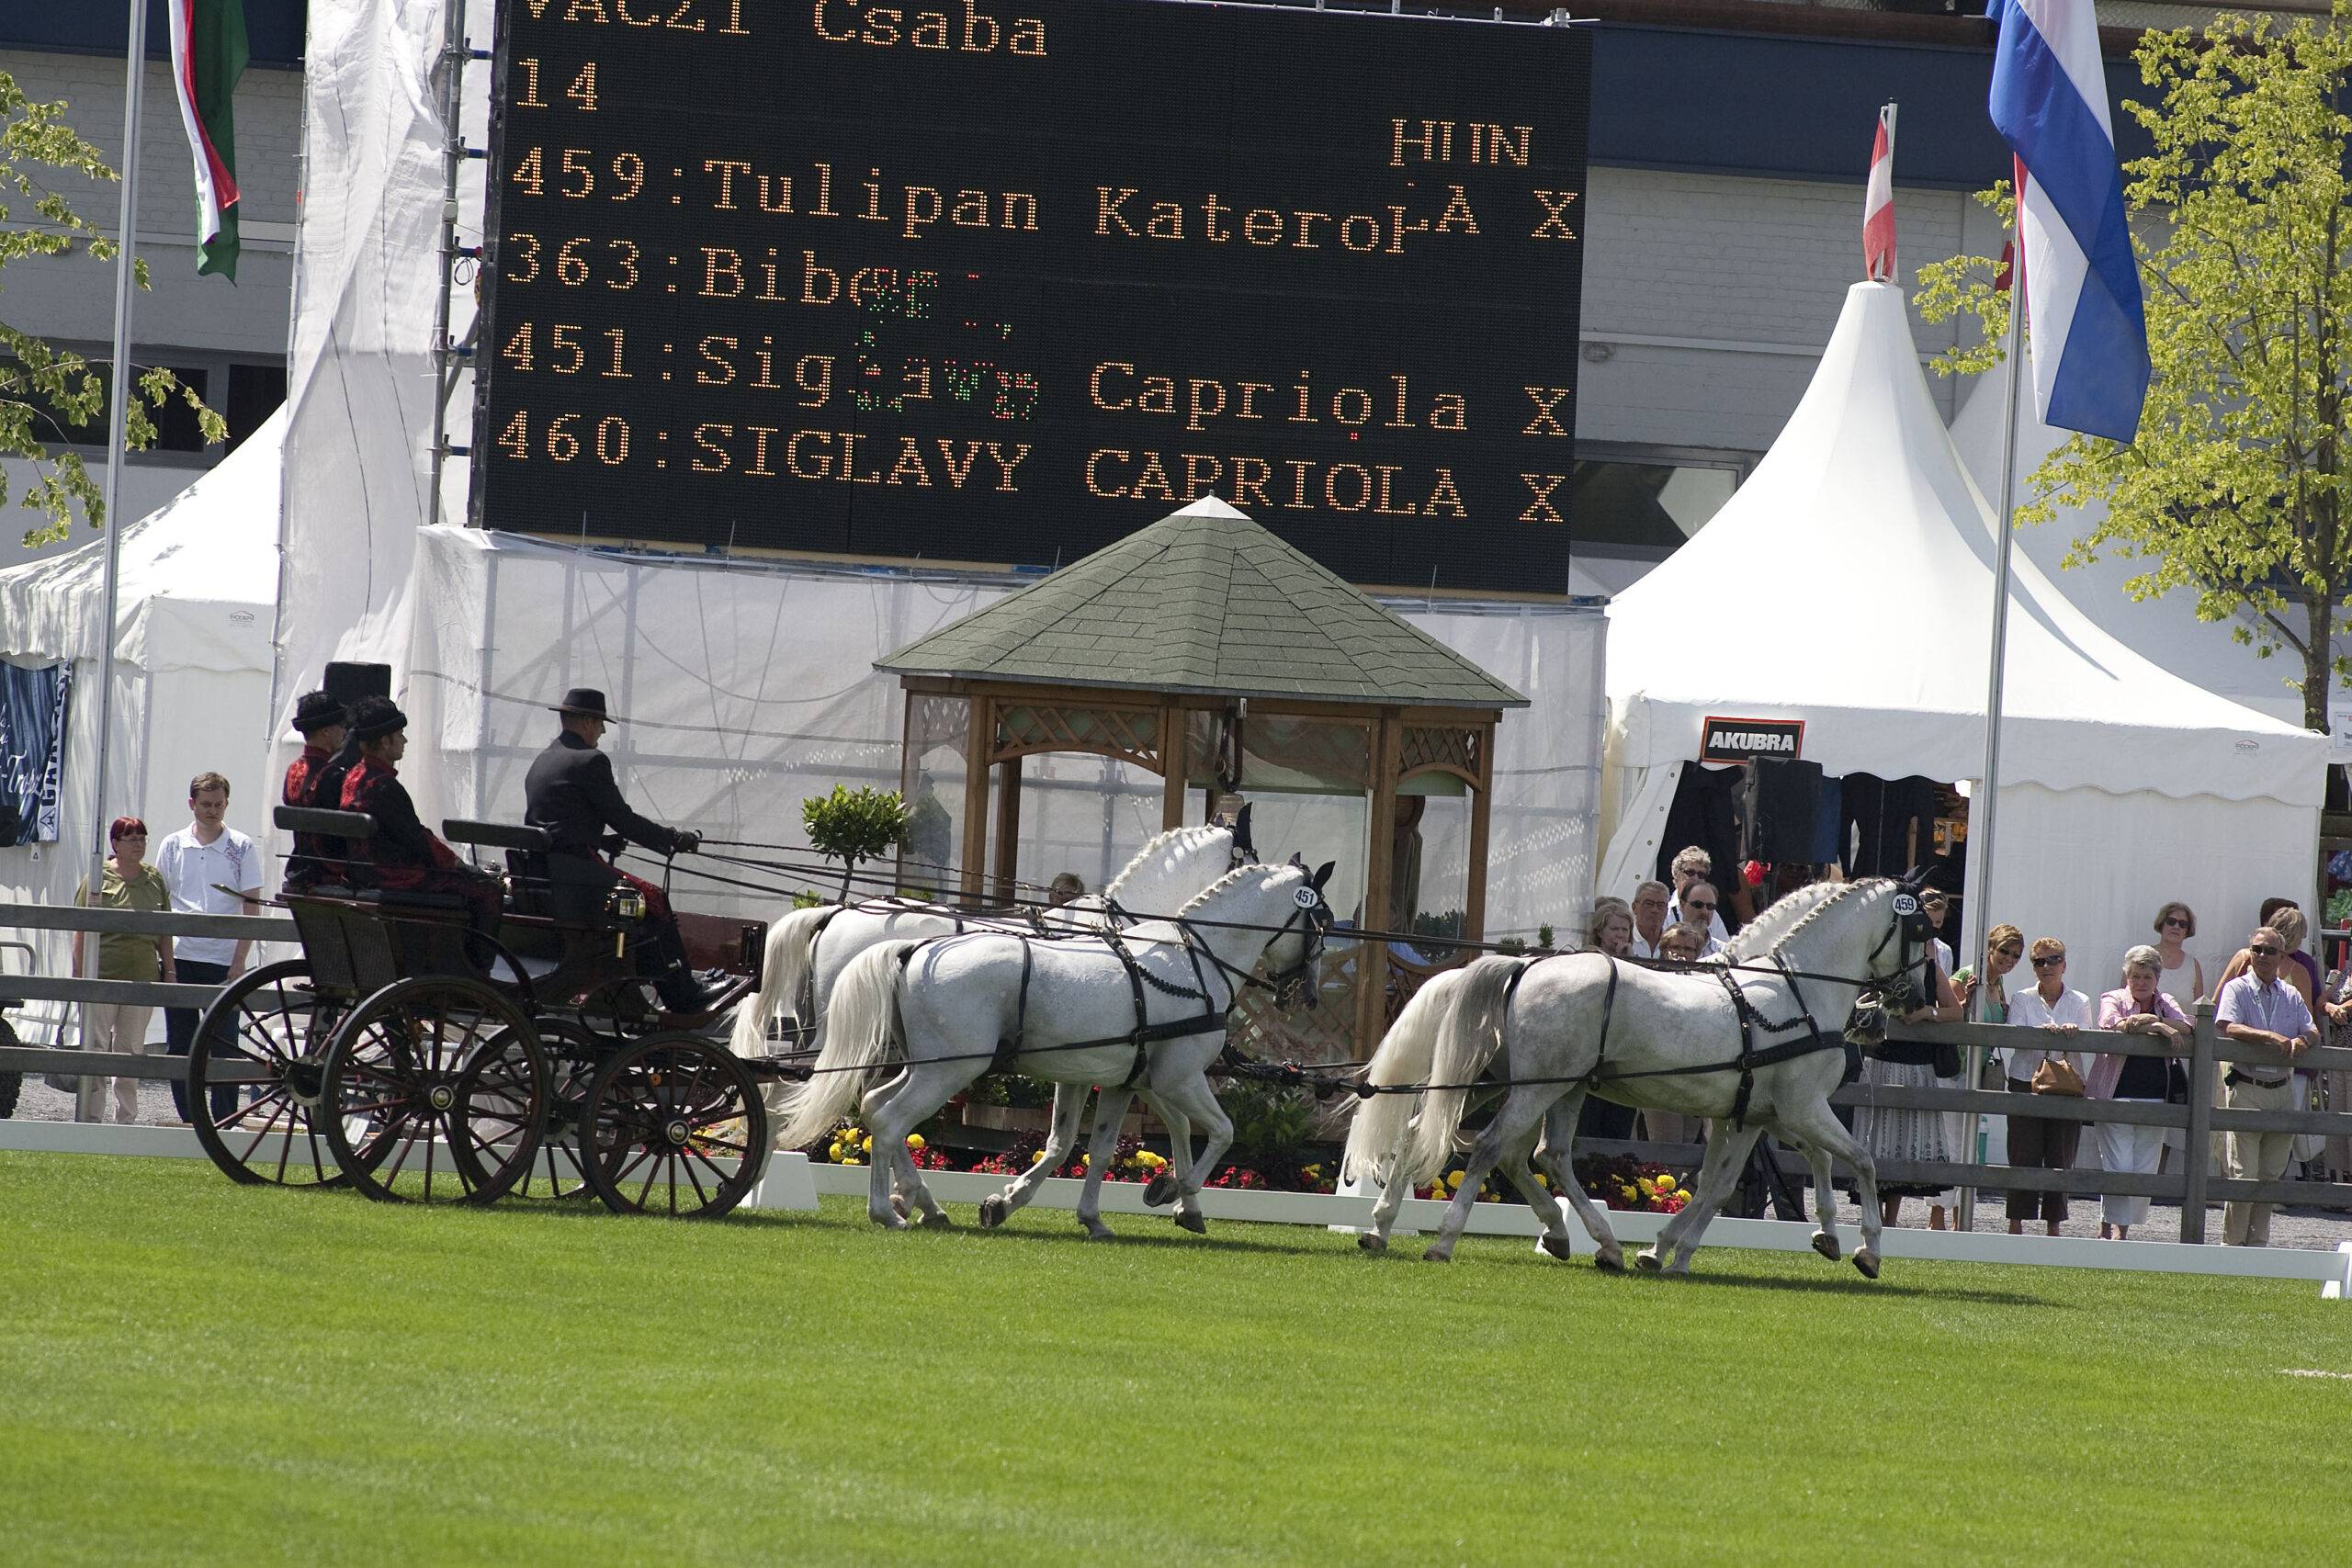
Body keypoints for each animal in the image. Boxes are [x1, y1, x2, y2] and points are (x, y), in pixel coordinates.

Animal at [776, 857, 1334, 1234]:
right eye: (1323, 920)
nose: (1305, 993)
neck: (1190, 960)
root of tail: (915, 948)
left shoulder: (1117, 1080)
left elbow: (1091, 1147)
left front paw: (1070, 1213)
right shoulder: (1179, 1078)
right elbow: (1220, 1132)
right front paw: (1176, 1190)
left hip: (923, 1064)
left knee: (875, 1108)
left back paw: (918, 1204)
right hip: (947, 1070)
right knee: (892, 1121)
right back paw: (888, 1212)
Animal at [1351, 876, 1934, 1276]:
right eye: (1923, 931)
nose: (1915, 1002)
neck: (1796, 992)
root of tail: (1525, 966)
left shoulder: (1753, 1117)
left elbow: (1724, 1184)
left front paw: (1668, 1251)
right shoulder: (1802, 1109)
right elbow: (1861, 1161)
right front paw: (1867, 1250)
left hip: (1508, 1084)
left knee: (1498, 1147)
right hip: (1537, 1088)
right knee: (1496, 1147)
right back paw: (1445, 1240)